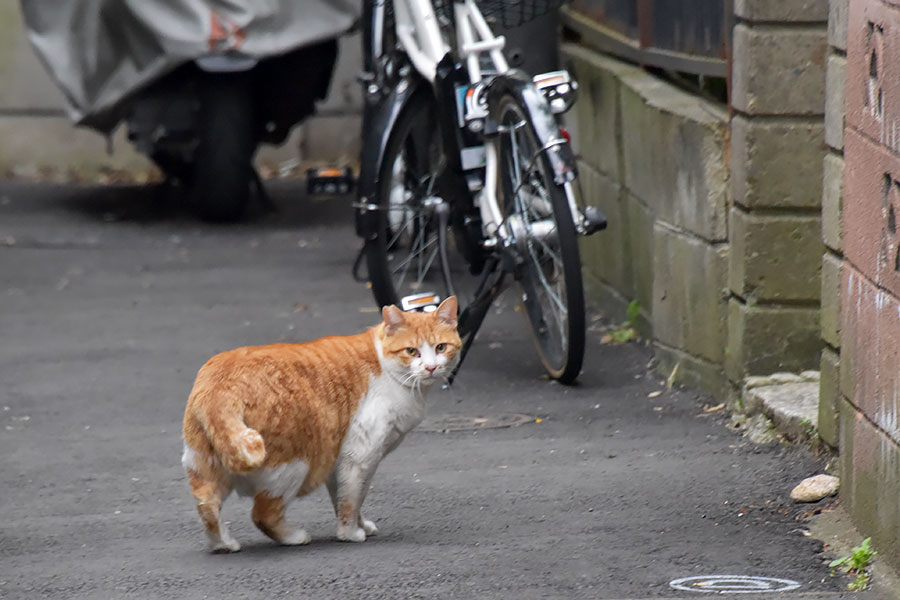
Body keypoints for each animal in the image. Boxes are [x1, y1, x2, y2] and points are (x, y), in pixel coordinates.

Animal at [180, 296, 460, 552]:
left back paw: (223, 544)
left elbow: (344, 497)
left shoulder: (339, 461)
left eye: (441, 347)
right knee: (262, 514)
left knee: (207, 505)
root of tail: (222, 385)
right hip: (294, 466)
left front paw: (361, 525)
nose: (431, 367)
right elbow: (351, 500)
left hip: (204, 467)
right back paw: (294, 537)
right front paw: (350, 533)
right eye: (411, 351)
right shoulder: (360, 457)